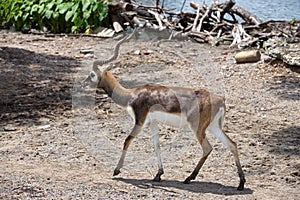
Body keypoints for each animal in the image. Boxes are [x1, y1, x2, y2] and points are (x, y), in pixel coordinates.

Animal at [82, 65, 246, 191]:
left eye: (92, 74)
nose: (83, 84)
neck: (131, 94)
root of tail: (220, 99)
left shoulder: (140, 121)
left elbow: (127, 140)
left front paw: (116, 170)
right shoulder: (153, 123)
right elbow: (156, 146)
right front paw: (158, 174)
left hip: (198, 128)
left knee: (207, 148)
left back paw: (189, 178)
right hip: (214, 127)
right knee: (232, 144)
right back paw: (241, 184)